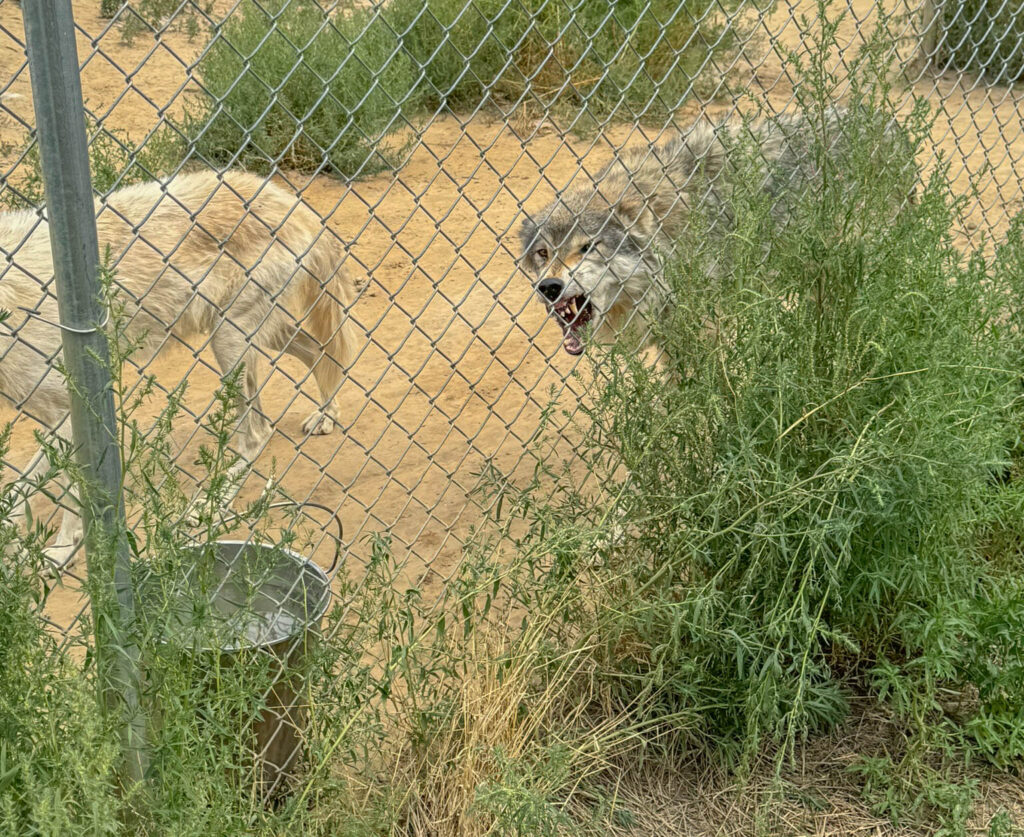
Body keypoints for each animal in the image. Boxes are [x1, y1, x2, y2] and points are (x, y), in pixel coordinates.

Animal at [0, 169, 362, 561]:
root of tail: (295, 205)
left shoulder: (70, 414)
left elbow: (68, 495)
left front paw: (62, 549)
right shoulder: (50, 417)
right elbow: (19, 487)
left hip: (228, 341)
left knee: (258, 433)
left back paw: (214, 502)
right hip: (253, 335)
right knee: (320, 353)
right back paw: (326, 415)